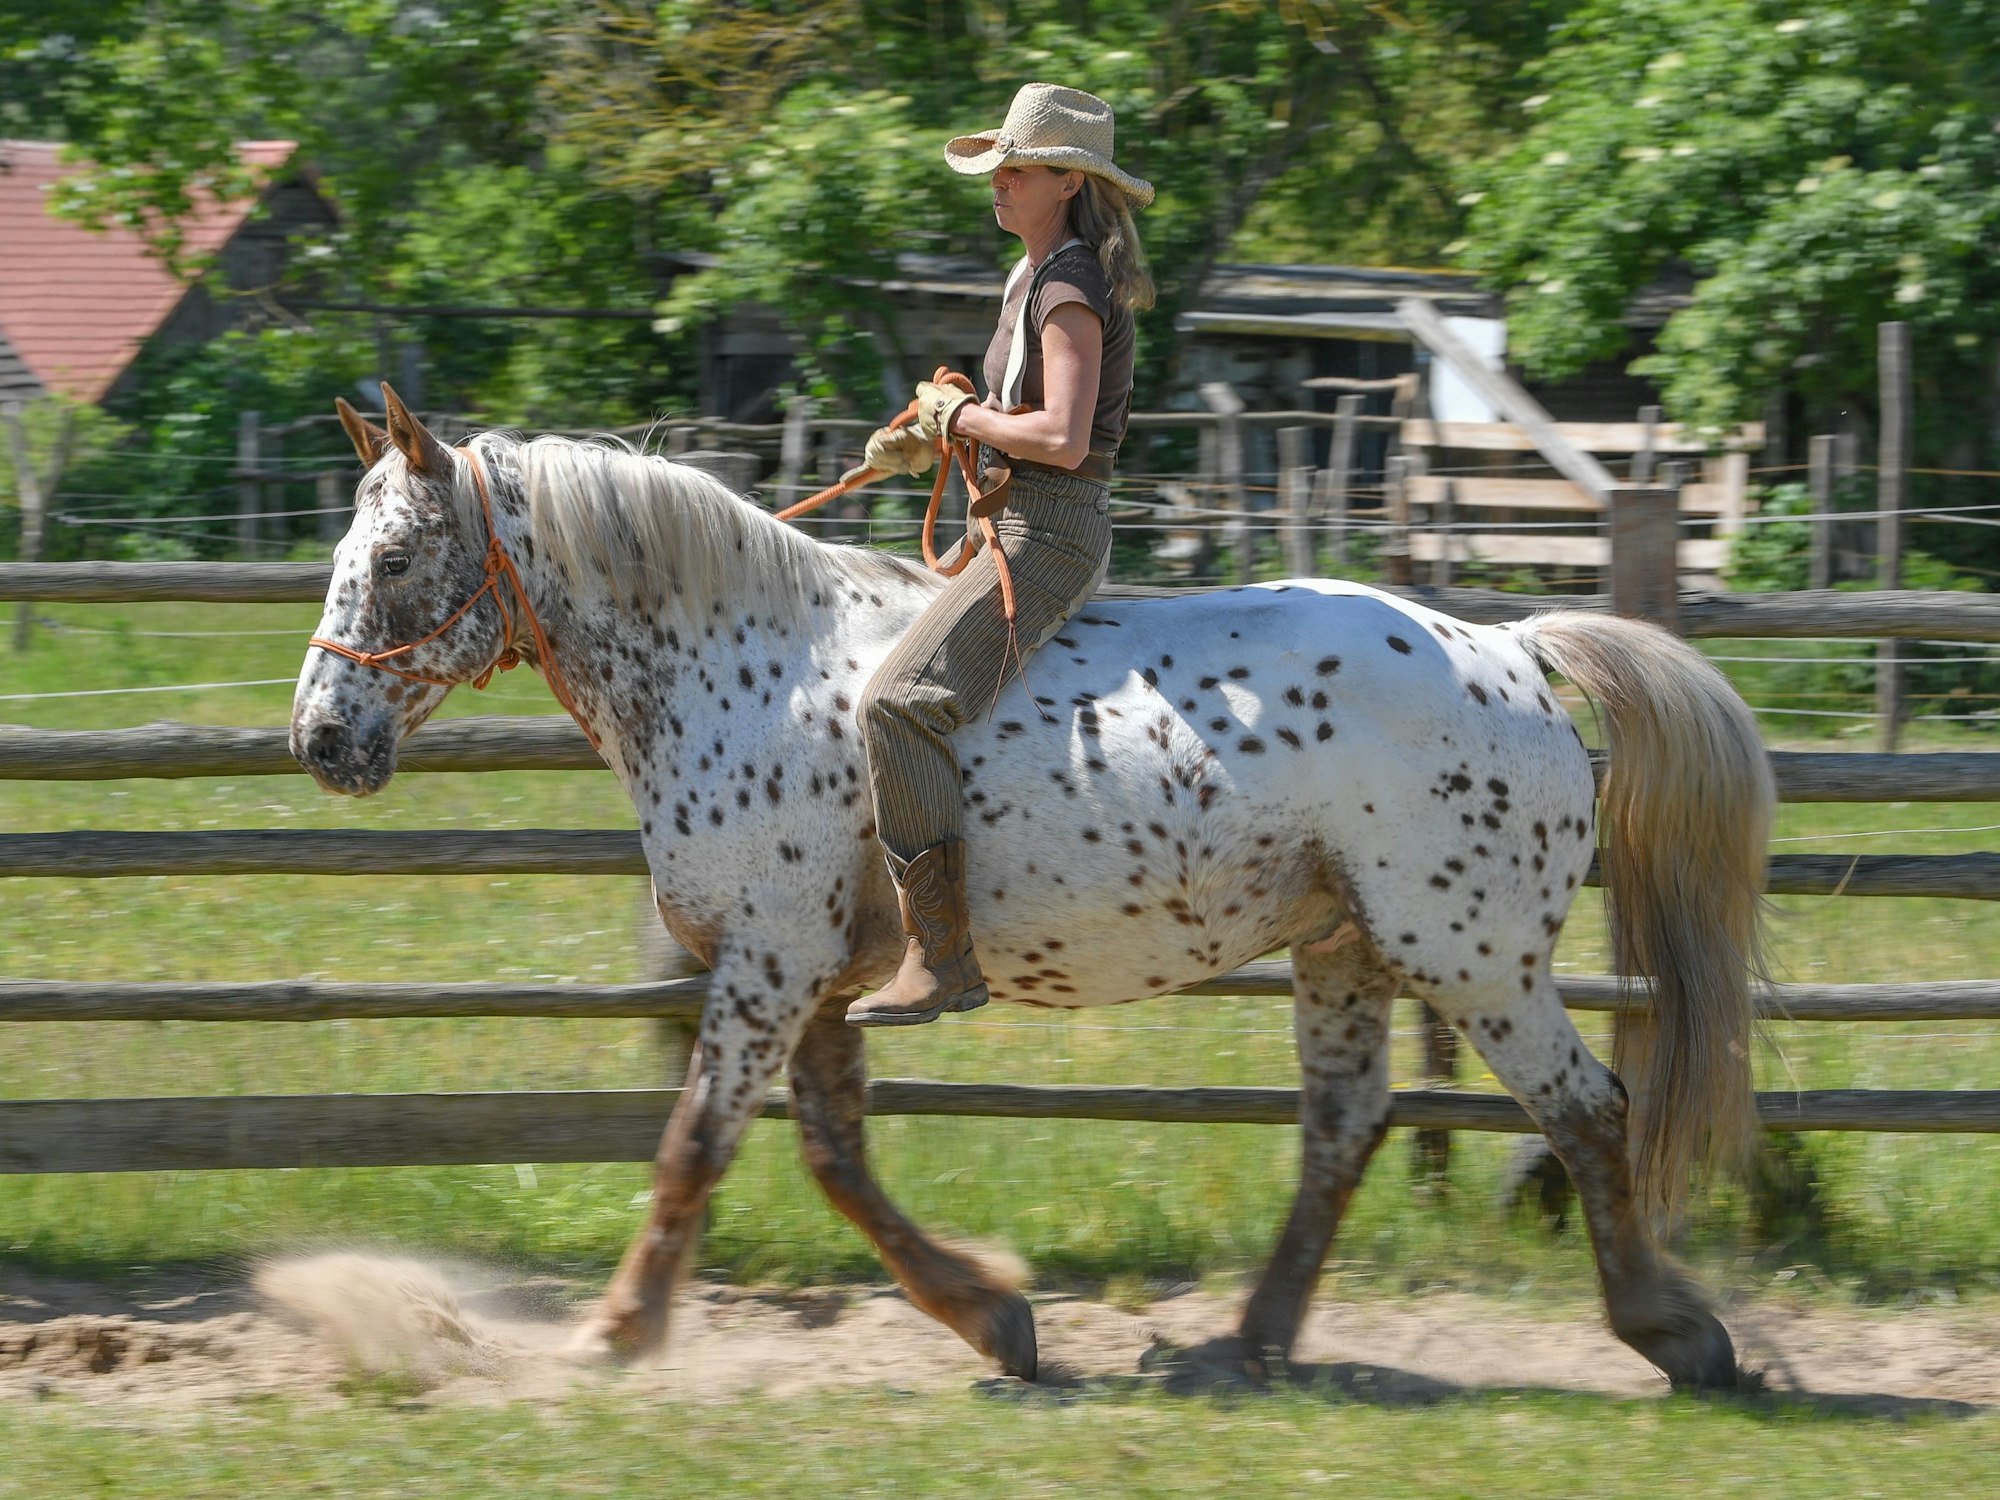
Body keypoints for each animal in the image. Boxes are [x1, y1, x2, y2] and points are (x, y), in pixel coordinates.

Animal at [291, 388, 1773, 1392]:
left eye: (398, 562)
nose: (320, 740)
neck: (738, 666)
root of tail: (1513, 647)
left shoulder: (769, 963)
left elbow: (697, 1146)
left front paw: (616, 1330)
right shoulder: (817, 978)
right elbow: (836, 1161)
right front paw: (994, 1317)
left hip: (1470, 955)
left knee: (1587, 1110)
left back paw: (1676, 1334)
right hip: (1346, 948)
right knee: (1343, 1129)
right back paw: (1242, 1346)